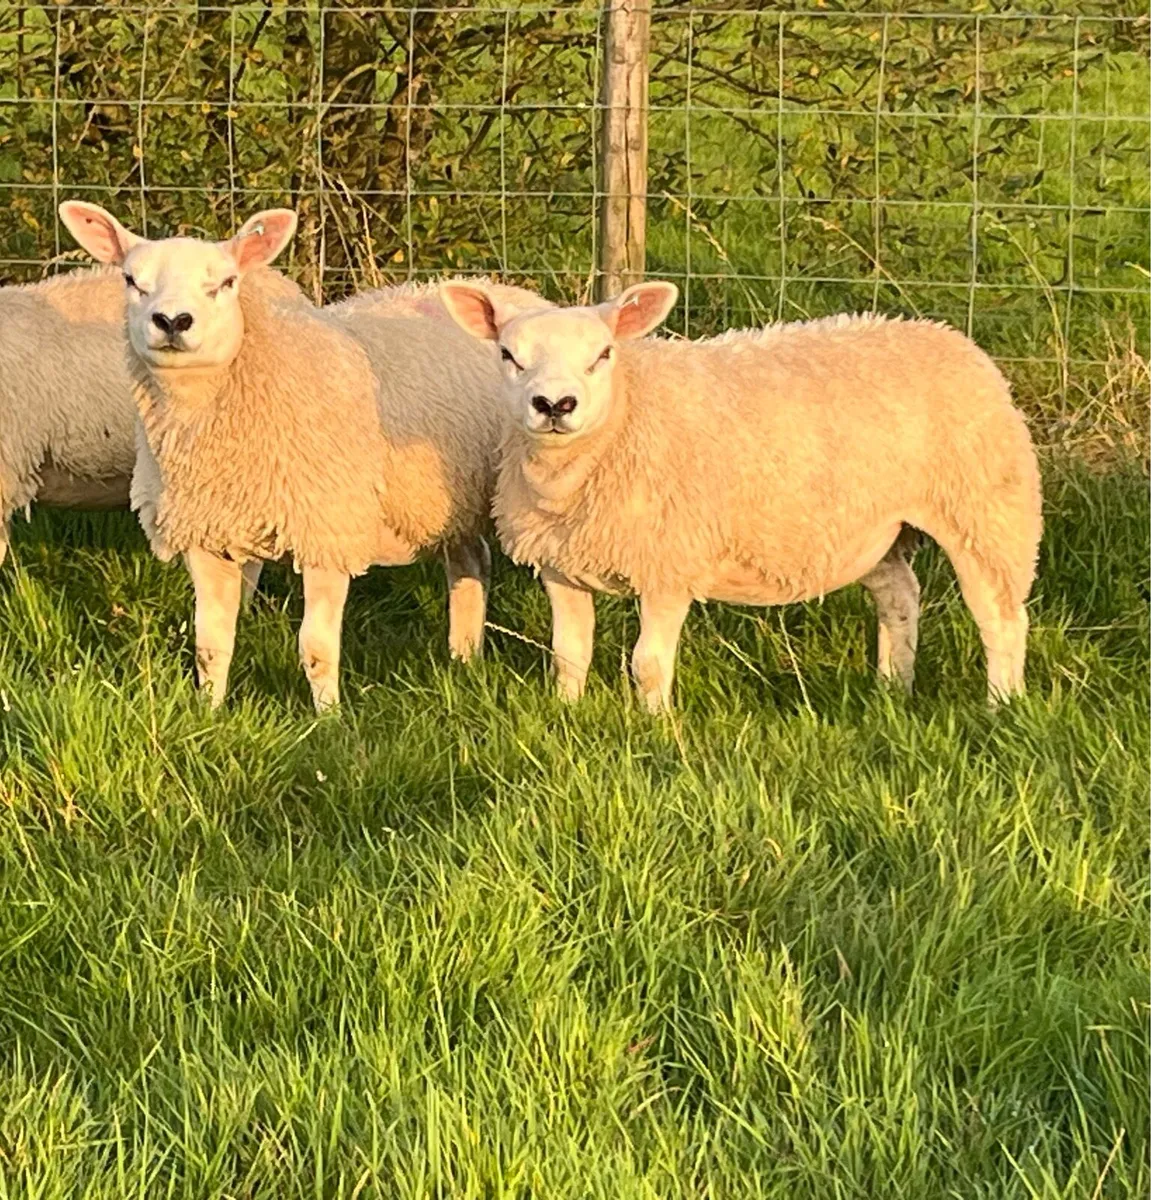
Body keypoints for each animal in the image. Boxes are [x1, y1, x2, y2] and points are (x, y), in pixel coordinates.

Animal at [59, 200, 544, 712]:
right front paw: (210, 709)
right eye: (131, 280)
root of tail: (504, 288)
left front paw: (329, 716)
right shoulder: (206, 533)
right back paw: (463, 657)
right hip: (445, 501)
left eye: (226, 282)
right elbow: (210, 644)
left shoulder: (325, 530)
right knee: (470, 562)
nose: (172, 321)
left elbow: (316, 647)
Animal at [440, 280, 1044, 712]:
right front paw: (566, 712)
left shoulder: (669, 563)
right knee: (900, 597)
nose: (554, 405)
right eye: (508, 355)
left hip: (985, 508)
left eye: (604, 354)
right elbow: (569, 654)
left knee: (1001, 618)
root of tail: (950, 336)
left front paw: (654, 728)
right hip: (876, 526)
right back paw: (893, 688)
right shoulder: (560, 564)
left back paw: (1001, 705)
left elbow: (648, 664)